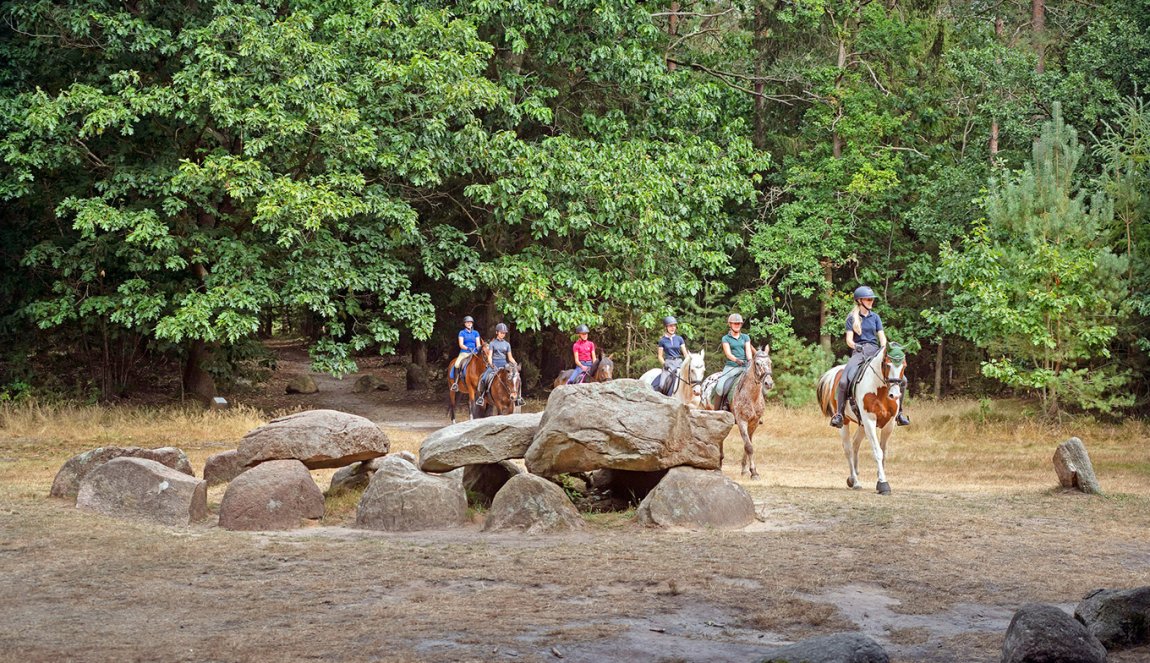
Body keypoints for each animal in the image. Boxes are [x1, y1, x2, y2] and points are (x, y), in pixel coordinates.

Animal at [818, 347, 906, 491]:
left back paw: (852, 479)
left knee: (855, 444)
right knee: (848, 449)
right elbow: (877, 452)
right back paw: (855, 481)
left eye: (904, 366)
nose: (895, 395)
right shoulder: (870, 421)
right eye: (888, 365)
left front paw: (880, 480)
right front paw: (883, 484)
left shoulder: (889, 424)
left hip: (862, 425)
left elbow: (883, 453)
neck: (880, 390)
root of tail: (836, 371)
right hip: (846, 422)